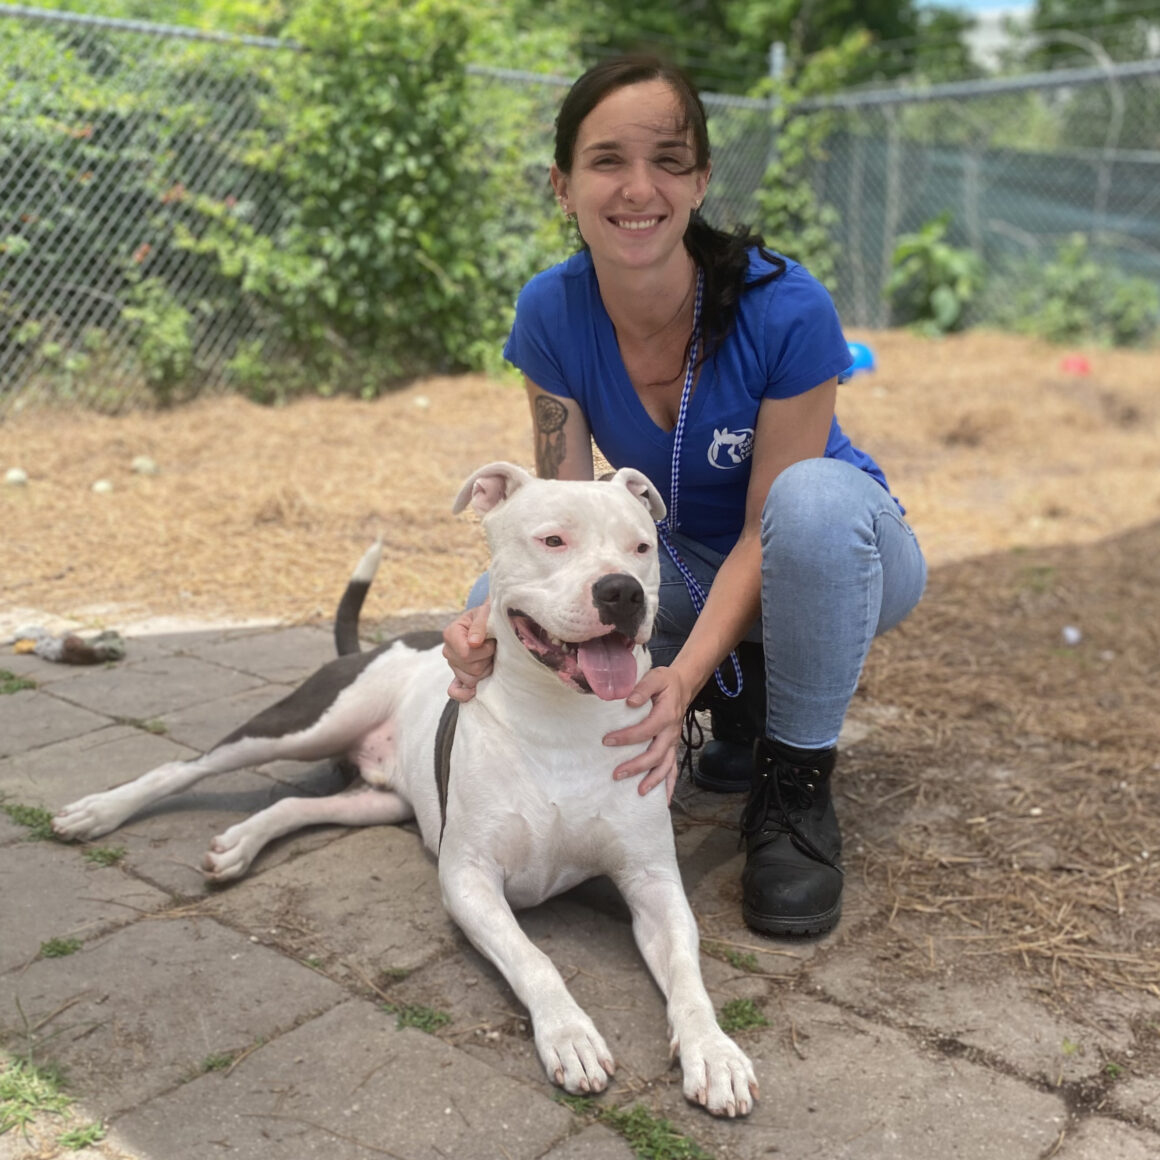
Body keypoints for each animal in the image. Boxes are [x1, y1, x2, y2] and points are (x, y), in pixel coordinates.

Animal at [54, 459, 760, 1113]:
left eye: (641, 548)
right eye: (553, 540)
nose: (621, 591)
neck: (563, 720)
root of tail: (378, 643)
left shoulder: (653, 882)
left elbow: (689, 974)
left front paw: (715, 1053)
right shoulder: (469, 879)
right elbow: (535, 960)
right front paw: (570, 1035)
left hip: (379, 798)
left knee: (295, 803)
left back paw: (238, 845)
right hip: (304, 724)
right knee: (189, 766)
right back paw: (97, 811)